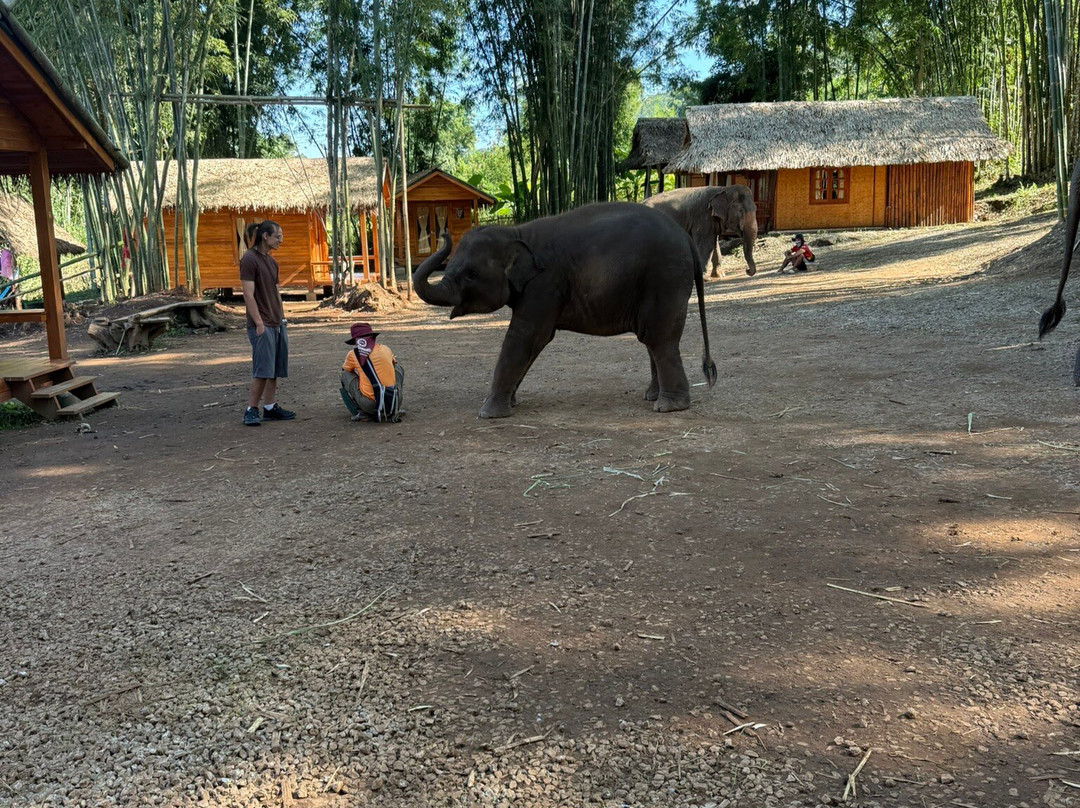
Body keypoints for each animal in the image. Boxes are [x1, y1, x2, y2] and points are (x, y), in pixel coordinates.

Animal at [412, 202, 718, 418]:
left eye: (472, 274)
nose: (444, 231)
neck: (517, 232)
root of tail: (686, 238)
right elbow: (535, 341)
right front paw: (512, 403)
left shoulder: (546, 283)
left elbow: (526, 336)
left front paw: (488, 414)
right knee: (652, 340)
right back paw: (652, 397)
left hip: (664, 278)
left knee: (659, 338)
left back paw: (668, 407)